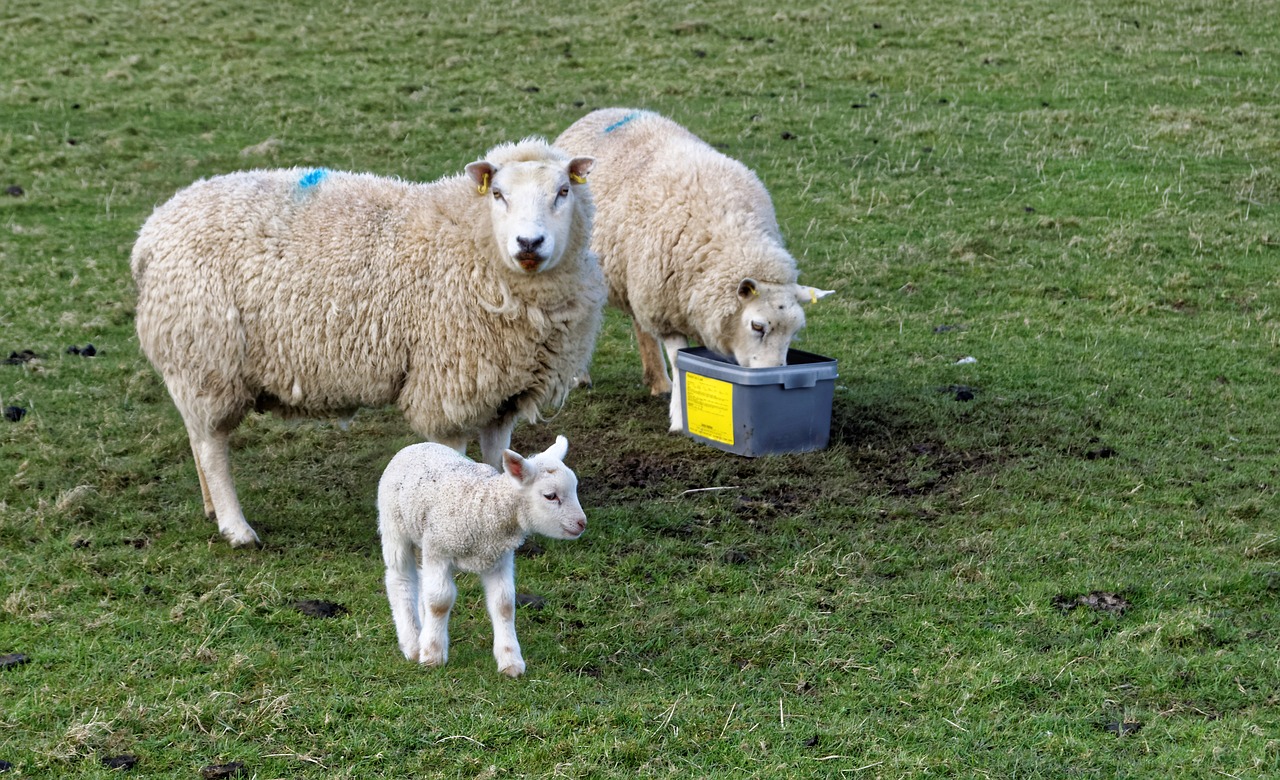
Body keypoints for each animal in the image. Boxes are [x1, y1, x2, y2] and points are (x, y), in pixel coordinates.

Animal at [132, 137, 601, 545]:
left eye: (562, 192)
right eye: (499, 195)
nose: (529, 243)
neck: (470, 240)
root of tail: (150, 232)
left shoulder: (500, 387)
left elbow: (497, 455)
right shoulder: (448, 387)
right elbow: (451, 454)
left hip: (192, 364)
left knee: (197, 435)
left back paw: (212, 508)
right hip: (207, 356)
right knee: (212, 446)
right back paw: (236, 528)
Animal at [373, 432, 586, 676]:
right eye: (550, 496)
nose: (582, 523)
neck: (484, 507)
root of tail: (415, 445)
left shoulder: (498, 558)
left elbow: (504, 604)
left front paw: (511, 661)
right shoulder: (439, 549)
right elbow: (440, 601)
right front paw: (432, 655)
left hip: (421, 536)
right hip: (395, 527)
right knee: (401, 579)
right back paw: (412, 643)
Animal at [555, 108, 834, 432]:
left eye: (794, 331)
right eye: (757, 326)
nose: (774, 376)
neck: (731, 234)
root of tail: (603, 111)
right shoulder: (667, 309)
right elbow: (680, 362)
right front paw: (679, 418)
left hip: (636, 276)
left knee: (640, 325)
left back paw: (658, 381)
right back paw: (579, 376)